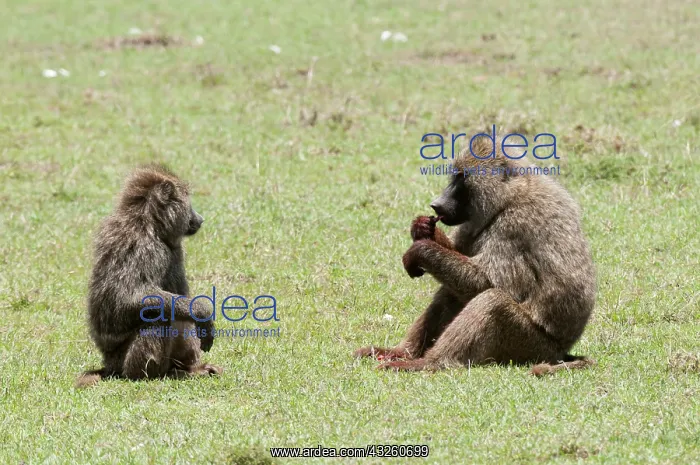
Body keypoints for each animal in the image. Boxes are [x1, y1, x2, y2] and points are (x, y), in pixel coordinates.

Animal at [76, 165, 222, 387]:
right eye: (188, 201)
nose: (200, 219)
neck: (148, 221)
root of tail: (109, 365)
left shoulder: (173, 251)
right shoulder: (147, 248)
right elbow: (130, 297)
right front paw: (203, 313)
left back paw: (188, 370)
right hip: (123, 360)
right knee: (156, 315)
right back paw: (157, 375)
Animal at [355, 136, 596, 376]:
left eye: (462, 179)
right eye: (454, 177)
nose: (436, 204)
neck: (510, 196)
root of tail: (560, 352)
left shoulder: (514, 227)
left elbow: (486, 281)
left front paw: (419, 250)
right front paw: (423, 229)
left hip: (530, 345)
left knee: (491, 301)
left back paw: (427, 363)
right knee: (451, 290)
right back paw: (400, 353)